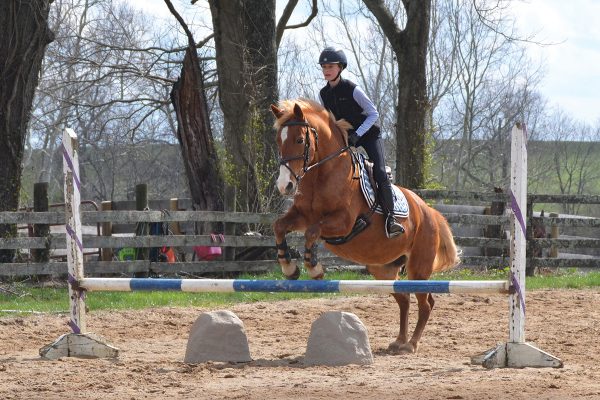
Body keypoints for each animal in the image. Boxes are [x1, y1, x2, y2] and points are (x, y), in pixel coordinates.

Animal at [270, 99, 460, 354]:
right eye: (278, 141)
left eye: (300, 140)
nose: (285, 186)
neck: (323, 175)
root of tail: (430, 212)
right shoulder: (301, 216)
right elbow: (279, 226)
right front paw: (289, 268)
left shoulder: (343, 223)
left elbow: (312, 232)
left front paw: (314, 268)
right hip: (384, 269)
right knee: (404, 298)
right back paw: (399, 340)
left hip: (418, 268)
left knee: (426, 302)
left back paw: (411, 344)